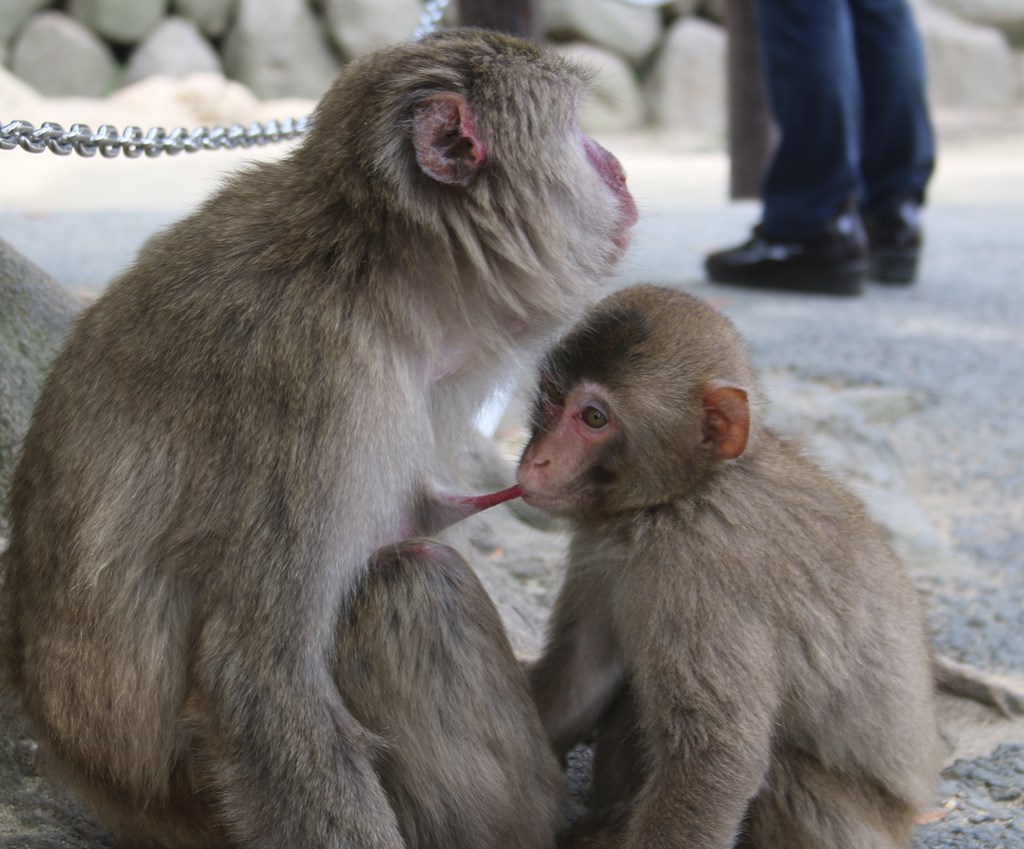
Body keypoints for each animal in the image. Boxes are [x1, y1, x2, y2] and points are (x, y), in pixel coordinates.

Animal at [4, 26, 634, 847]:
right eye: (578, 131)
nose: (618, 164)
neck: (371, 265)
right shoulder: (313, 380)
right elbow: (257, 681)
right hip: (198, 805)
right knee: (410, 586)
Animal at [524, 284, 937, 847]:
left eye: (593, 418)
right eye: (551, 394)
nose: (535, 460)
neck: (677, 499)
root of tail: (905, 820)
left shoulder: (697, 571)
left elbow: (717, 757)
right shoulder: (600, 548)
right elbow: (580, 677)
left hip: (850, 824)